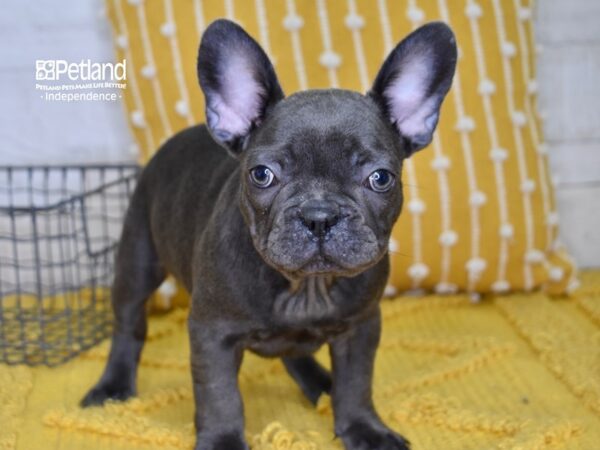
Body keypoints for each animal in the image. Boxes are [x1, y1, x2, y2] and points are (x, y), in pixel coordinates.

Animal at [82, 19, 458, 448]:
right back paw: (113, 386)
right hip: (137, 260)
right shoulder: (212, 332)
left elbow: (356, 384)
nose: (319, 215)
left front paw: (365, 429)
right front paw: (223, 441)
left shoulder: (361, 327)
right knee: (129, 323)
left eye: (381, 178)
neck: (305, 289)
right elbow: (220, 395)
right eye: (262, 174)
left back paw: (319, 383)